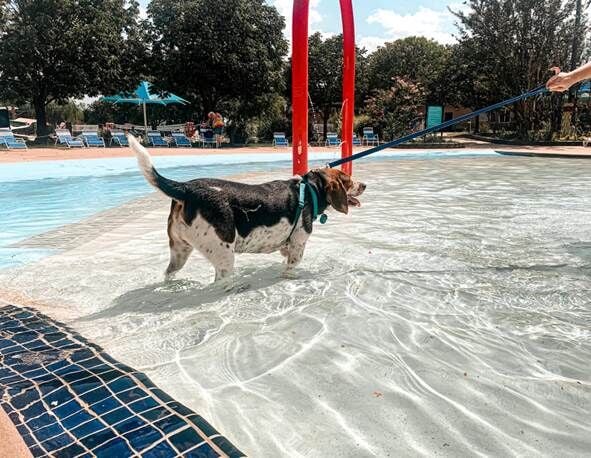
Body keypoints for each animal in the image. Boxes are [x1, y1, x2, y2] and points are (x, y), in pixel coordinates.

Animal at [130, 134, 366, 280]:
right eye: (348, 180)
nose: (364, 185)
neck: (309, 189)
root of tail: (186, 188)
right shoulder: (298, 246)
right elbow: (290, 269)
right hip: (224, 256)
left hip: (179, 251)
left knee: (168, 274)